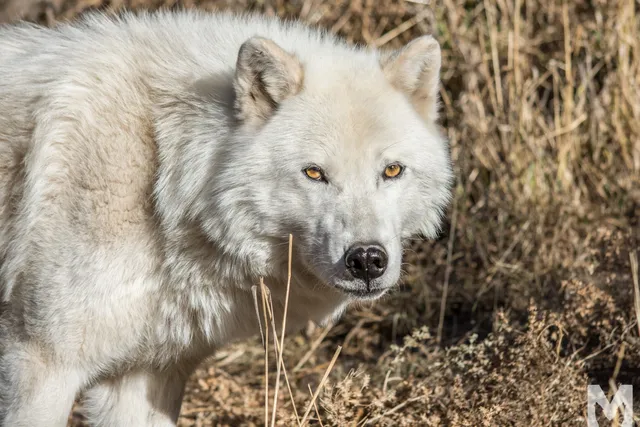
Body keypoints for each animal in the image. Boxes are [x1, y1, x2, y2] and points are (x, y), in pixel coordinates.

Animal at [0, 9, 453, 426]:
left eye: (391, 170)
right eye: (314, 173)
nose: (367, 260)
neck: (160, 175)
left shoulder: (144, 373)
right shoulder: (39, 363)